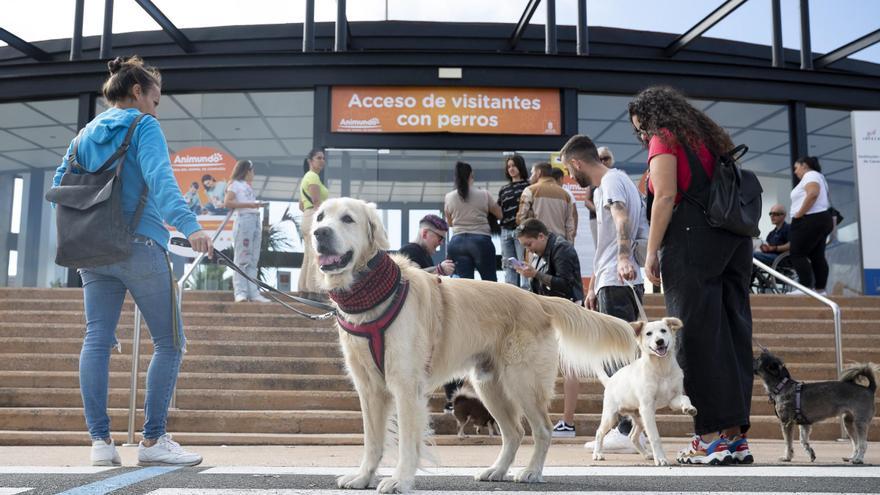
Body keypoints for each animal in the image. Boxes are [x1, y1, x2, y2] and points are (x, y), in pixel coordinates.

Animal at [312, 198, 640, 492]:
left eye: (348, 219)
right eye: (320, 217)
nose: (319, 233)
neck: (372, 294)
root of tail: (537, 299)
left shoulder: (406, 385)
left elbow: (407, 441)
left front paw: (400, 480)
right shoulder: (368, 388)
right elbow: (372, 440)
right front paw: (363, 476)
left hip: (522, 381)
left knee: (542, 430)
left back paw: (531, 472)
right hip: (489, 385)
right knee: (515, 432)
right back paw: (497, 470)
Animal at [592, 318, 696, 464]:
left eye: (663, 330)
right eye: (648, 333)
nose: (659, 341)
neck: (661, 368)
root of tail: (610, 380)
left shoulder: (672, 400)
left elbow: (685, 398)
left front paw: (689, 408)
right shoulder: (647, 407)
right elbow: (654, 437)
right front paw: (661, 459)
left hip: (639, 418)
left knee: (632, 436)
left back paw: (647, 454)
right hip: (611, 416)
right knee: (599, 432)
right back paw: (597, 454)